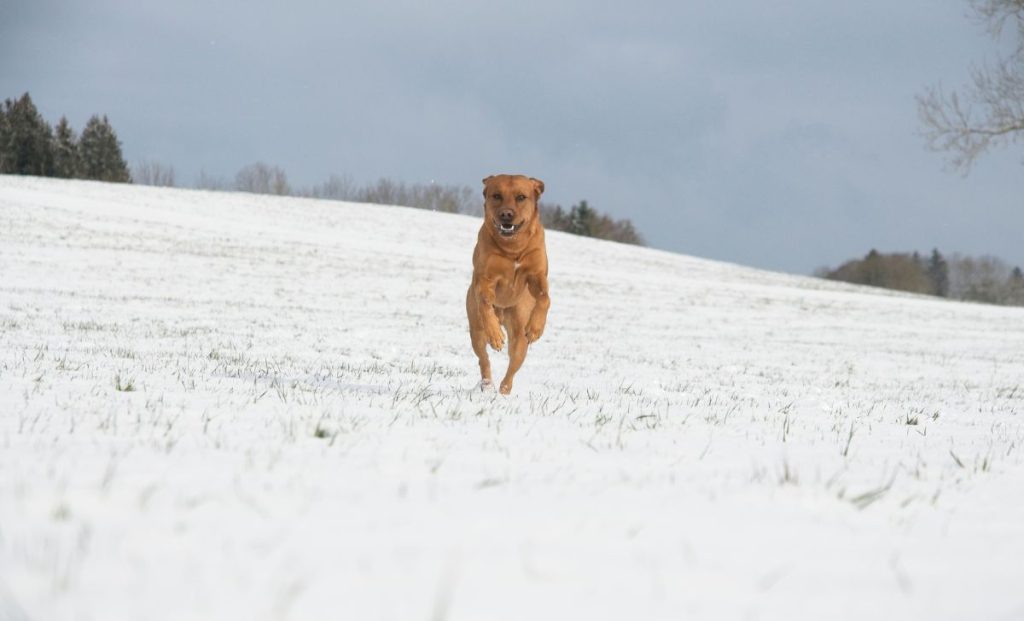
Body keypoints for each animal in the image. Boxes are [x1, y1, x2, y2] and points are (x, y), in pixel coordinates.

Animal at [468, 173, 552, 393]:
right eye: (496, 195)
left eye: (521, 197)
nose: (506, 214)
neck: (513, 247)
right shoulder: (486, 278)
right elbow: (485, 300)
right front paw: (495, 335)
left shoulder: (537, 275)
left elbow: (545, 297)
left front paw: (536, 328)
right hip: (475, 330)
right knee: (483, 358)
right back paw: (487, 384)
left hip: (518, 335)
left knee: (513, 366)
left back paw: (504, 390)